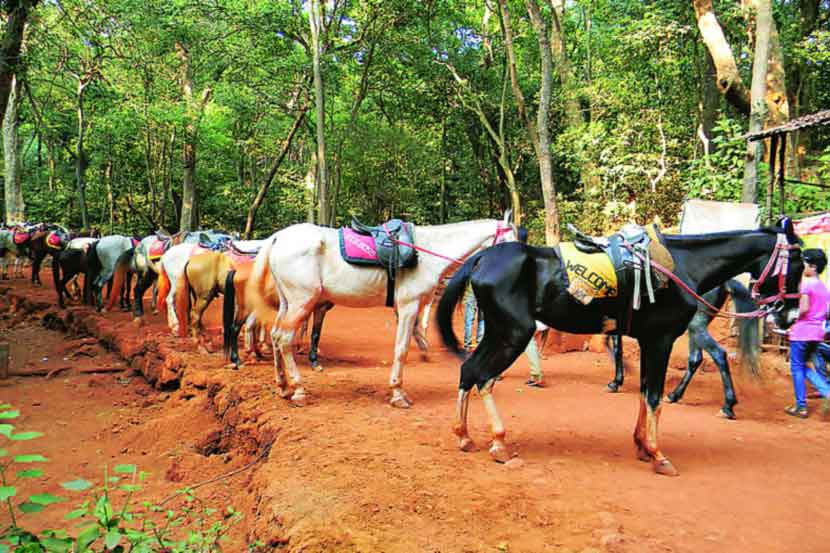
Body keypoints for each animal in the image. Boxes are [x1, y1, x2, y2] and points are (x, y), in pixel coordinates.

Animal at [604, 278, 760, 420]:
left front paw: (616, 381)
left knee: (718, 354)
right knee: (696, 359)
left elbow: (616, 347)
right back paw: (674, 395)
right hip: (696, 326)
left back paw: (727, 406)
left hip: (695, 325)